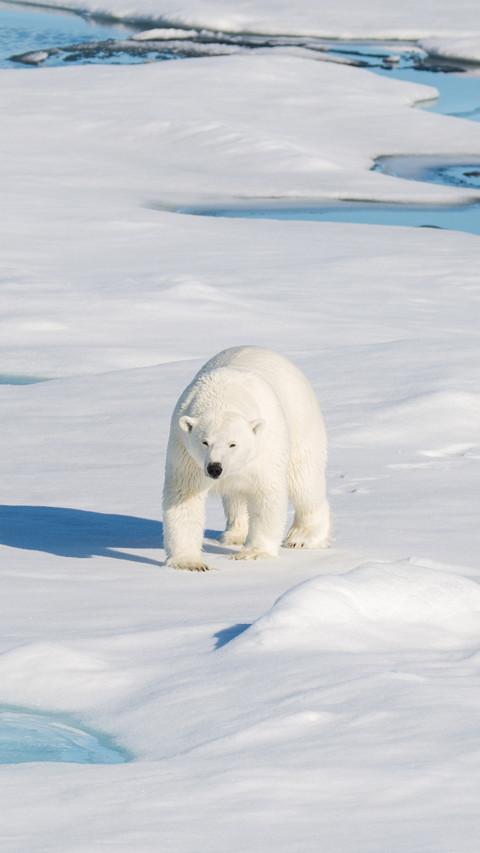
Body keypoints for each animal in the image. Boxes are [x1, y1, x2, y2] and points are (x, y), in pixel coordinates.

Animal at [162, 346, 331, 571]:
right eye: (205, 442)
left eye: (233, 444)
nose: (215, 468)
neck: (223, 395)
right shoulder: (186, 453)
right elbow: (185, 496)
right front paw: (190, 563)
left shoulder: (265, 446)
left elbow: (265, 494)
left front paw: (253, 553)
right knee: (236, 497)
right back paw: (235, 535)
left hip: (302, 423)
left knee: (304, 483)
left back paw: (303, 537)